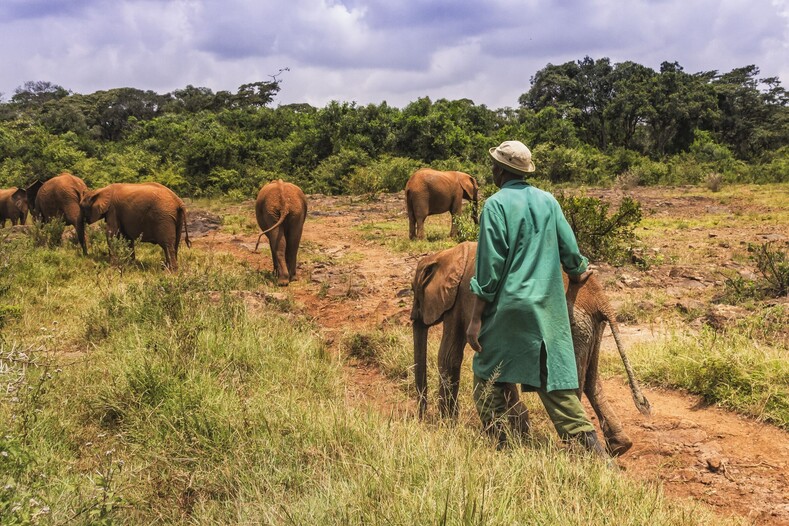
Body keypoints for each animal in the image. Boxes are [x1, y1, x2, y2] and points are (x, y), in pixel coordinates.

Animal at [410, 243, 648, 458]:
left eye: (415, 292)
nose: (420, 418)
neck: (445, 254)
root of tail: (600, 299)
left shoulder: (457, 301)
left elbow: (449, 356)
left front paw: (446, 426)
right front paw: (517, 431)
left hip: (569, 327)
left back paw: (575, 452)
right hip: (590, 328)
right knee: (592, 380)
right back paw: (619, 447)